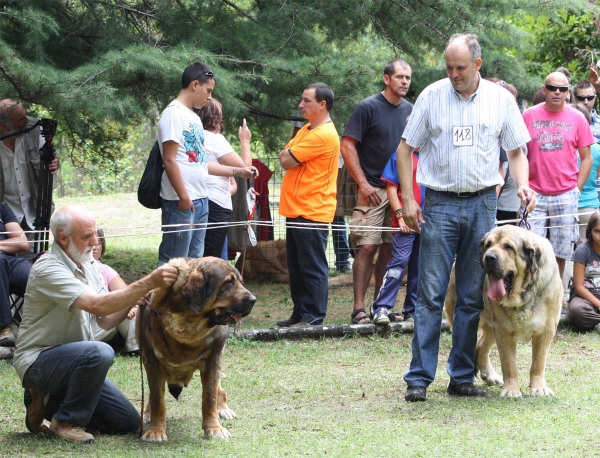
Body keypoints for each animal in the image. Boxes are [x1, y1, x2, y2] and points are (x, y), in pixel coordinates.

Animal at [137, 258, 256, 440]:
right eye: (228, 282)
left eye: (241, 282)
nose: (253, 299)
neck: (188, 323)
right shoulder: (153, 362)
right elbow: (157, 398)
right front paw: (156, 430)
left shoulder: (213, 361)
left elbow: (210, 398)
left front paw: (214, 428)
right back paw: (147, 413)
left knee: (219, 390)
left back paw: (223, 409)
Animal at [442, 225, 564, 398]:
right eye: (488, 245)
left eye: (508, 247)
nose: (489, 257)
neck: (523, 292)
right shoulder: (503, 331)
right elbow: (509, 364)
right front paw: (511, 390)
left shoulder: (545, 330)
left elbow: (538, 362)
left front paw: (539, 388)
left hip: (492, 329)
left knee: (481, 347)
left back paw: (490, 376)